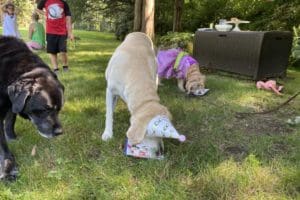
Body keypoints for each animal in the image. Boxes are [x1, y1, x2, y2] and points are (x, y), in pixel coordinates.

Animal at [0, 36, 63, 180]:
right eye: (45, 110)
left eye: (59, 109)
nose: (59, 132)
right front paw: (8, 170)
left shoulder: (11, 104)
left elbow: (10, 122)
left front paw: (12, 139)